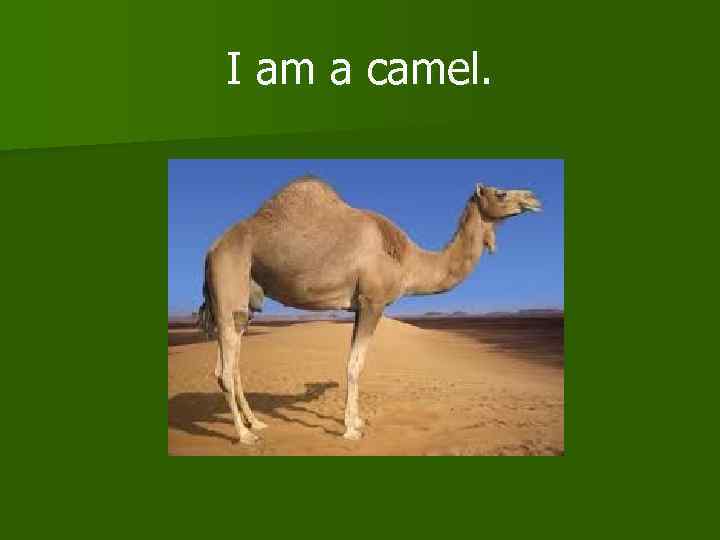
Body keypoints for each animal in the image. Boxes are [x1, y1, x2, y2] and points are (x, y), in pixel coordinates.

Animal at [199, 176, 542, 444]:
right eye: (501, 193)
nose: (533, 198)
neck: (408, 259)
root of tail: (211, 249)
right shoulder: (372, 302)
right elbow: (355, 364)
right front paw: (351, 429)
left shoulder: (358, 306)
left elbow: (354, 361)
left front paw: (356, 420)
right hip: (229, 280)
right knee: (224, 369)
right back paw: (245, 435)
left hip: (245, 302)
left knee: (232, 362)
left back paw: (256, 422)